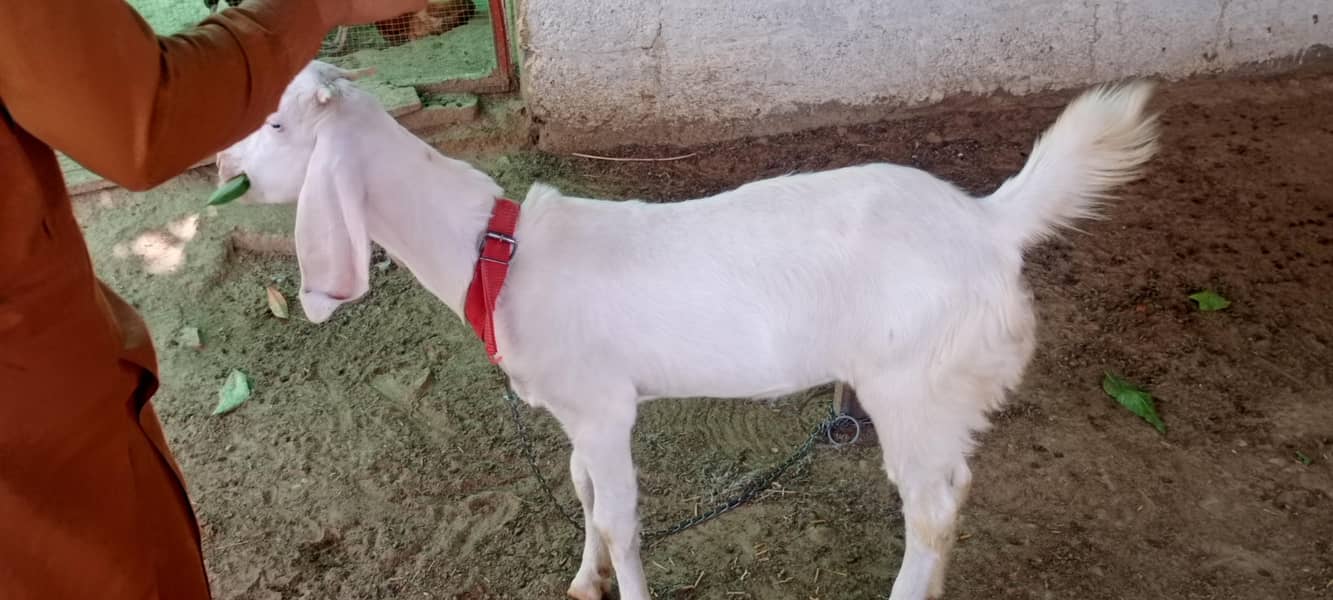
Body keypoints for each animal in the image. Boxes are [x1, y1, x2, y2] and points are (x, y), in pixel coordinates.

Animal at [216, 60, 1159, 600]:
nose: (222, 161)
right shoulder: (577, 412)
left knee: (934, 506)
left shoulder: (604, 408)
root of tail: (992, 222)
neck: (495, 254)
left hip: (917, 383)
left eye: (276, 124)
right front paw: (581, 581)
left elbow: (620, 518)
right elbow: (584, 496)